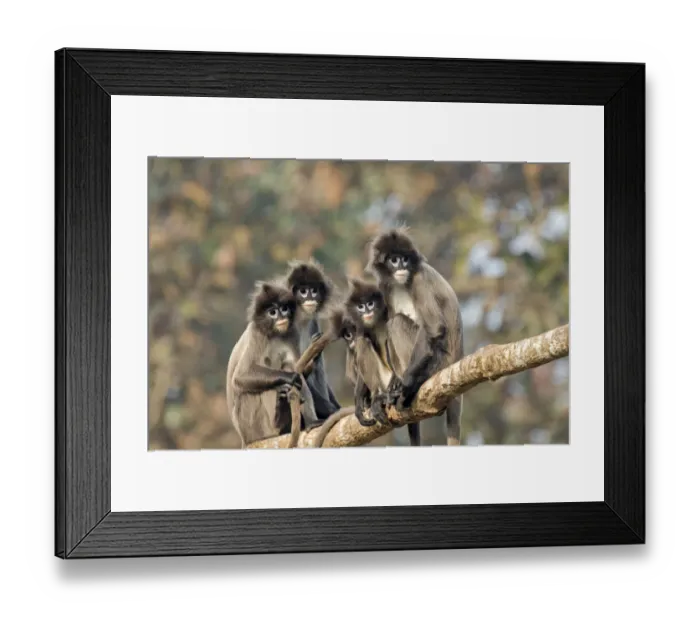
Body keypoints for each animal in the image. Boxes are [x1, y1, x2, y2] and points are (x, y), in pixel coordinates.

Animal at [226, 281, 319, 447]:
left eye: (284, 309)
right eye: (273, 312)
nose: (281, 317)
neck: (275, 333)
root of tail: (244, 438)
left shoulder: (291, 333)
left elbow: (299, 373)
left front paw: (312, 421)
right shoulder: (257, 335)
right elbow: (241, 375)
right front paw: (289, 377)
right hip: (250, 424)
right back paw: (278, 420)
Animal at [367, 226, 464, 446]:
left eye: (404, 258)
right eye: (394, 260)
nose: (401, 265)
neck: (402, 282)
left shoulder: (420, 279)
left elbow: (434, 328)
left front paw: (405, 386)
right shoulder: (385, 286)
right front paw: (393, 386)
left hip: (439, 363)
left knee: (396, 323)